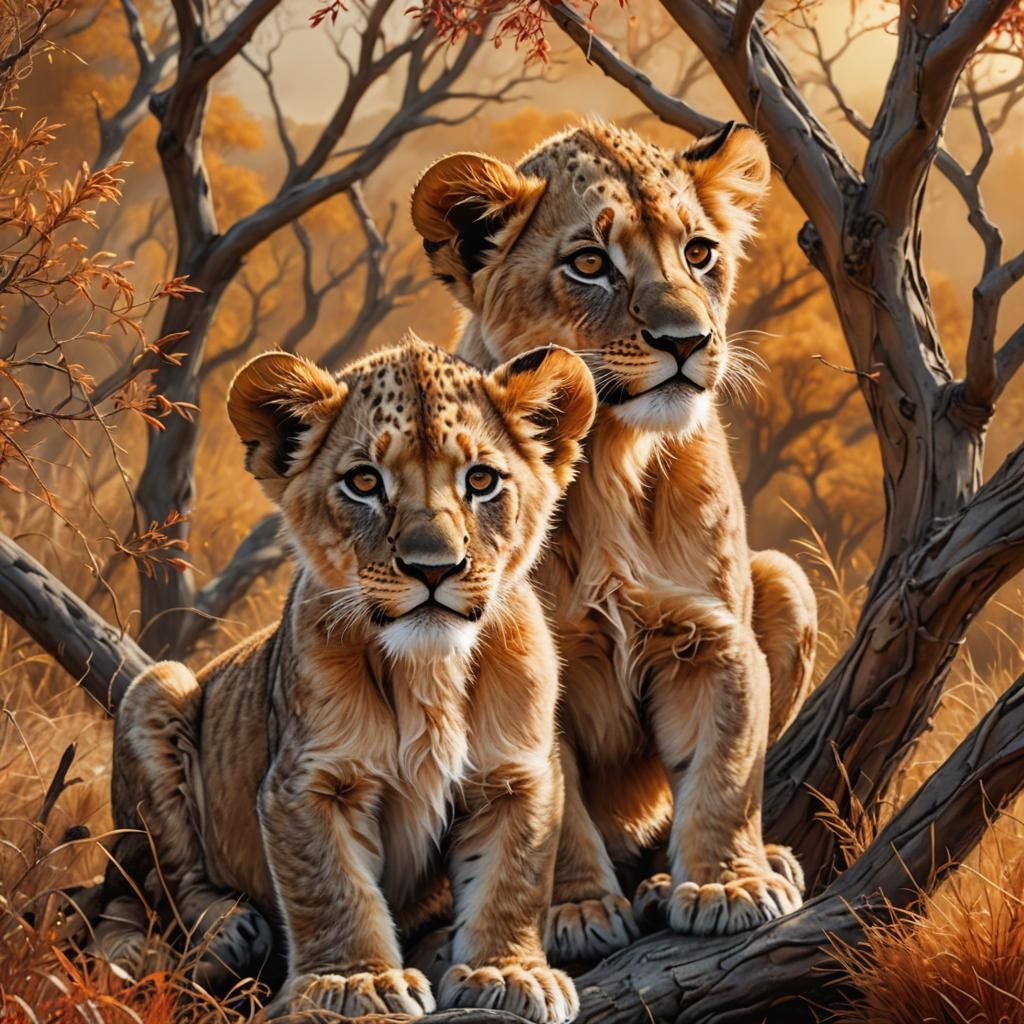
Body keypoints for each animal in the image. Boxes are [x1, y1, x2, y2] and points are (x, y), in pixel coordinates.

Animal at [91, 337, 596, 1022]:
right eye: (364, 482)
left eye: (481, 480)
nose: (433, 567)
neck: (428, 672)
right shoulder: (307, 781)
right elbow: (332, 887)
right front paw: (359, 982)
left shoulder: (516, 777)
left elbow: (512, 879)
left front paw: (508, 971)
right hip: (156, 689)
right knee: (150, 885)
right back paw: (225, 927)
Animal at [411, 120, 817, 960]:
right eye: (591, 264)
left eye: (699, 252)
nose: (688, 340)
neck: (613, 462)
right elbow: (556, 810)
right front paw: (574, 913)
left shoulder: (711, 639)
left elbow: (724, 771)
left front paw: (728, 887)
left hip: (785, 580)